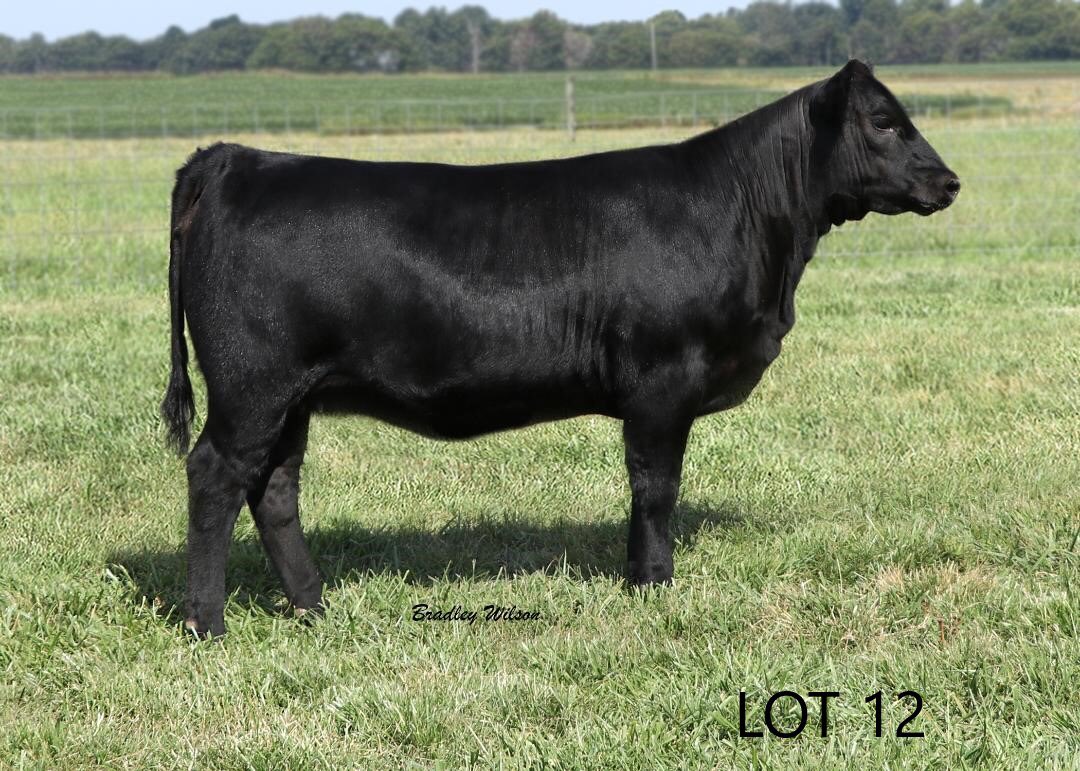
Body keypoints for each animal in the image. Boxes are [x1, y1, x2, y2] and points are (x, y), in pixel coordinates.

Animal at [162, 60, 959, 637]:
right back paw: (208, 623)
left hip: (292, 396)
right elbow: (656, 488)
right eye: (884, 121)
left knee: (274, 488)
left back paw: (312, 605)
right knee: (216, 477)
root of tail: (235, 158)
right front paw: (654, 584)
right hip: (252, 386)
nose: (948, 181)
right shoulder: (662, 382)